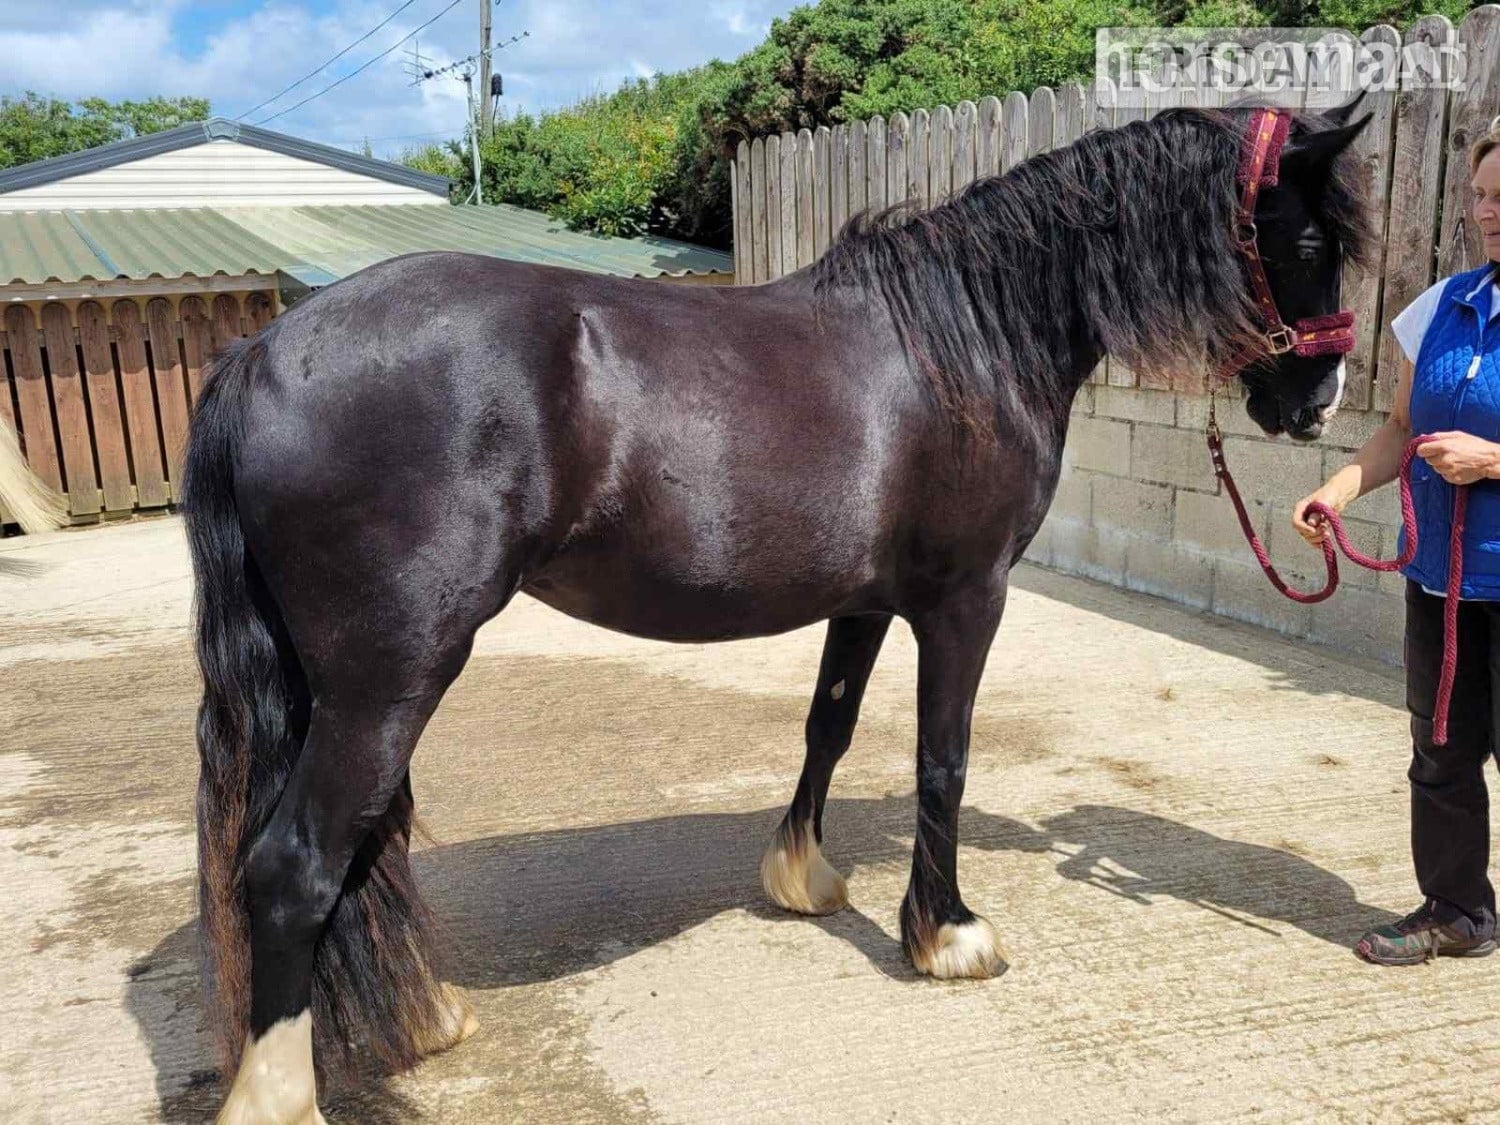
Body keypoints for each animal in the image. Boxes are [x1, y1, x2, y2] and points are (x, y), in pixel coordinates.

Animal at [185, 103, 1373, 1122]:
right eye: (1311, 235)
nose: (1316, 403)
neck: (970, 337)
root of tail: (262, 353)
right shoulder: (965, 600)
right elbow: (943, 758)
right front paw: (947, 933)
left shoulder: (866, 604)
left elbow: (829, 728)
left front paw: (803, 875)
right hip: (391, 675)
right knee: (297, 864)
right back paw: (284, 1091)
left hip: (363, 682)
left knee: (369, 839)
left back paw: (425, 1014)